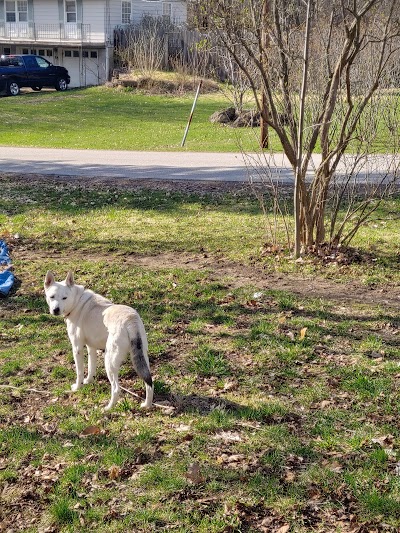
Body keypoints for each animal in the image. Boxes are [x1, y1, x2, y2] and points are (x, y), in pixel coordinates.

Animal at [43, 272, 153, 410]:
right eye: (52, 297)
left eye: (64, 298)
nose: (56, 310)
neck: (77, 301)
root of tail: (130, 320)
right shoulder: (91, 347)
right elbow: (91, 368)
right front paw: (88, 381)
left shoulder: (77, 348)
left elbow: (79, 372)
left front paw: (77, 387)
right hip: (142, 358)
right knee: (149, 383)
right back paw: (147, 405)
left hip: (109, 362)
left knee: (116, 389)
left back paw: (108, 408)